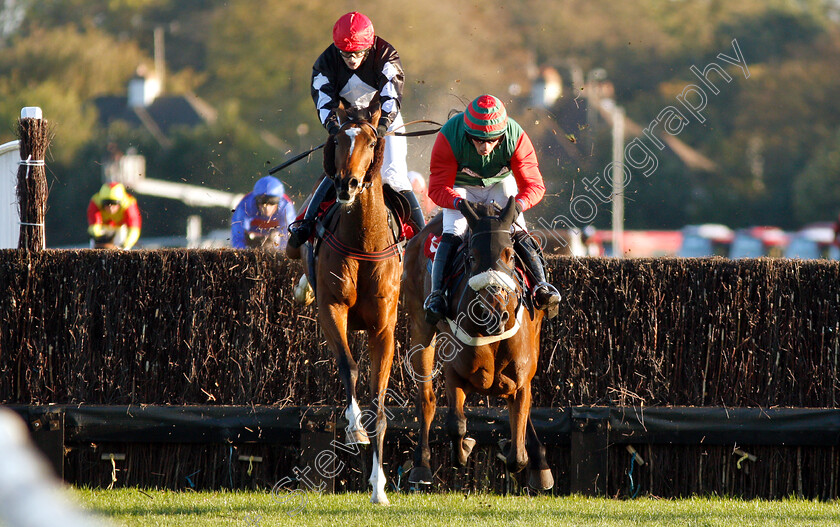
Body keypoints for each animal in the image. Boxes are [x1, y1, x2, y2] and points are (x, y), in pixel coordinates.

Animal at [288, 108, 402, 508]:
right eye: (337, 139)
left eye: (371, 140)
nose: (347, 185)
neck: (364, 240)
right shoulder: (332, 309)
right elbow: (349, 367)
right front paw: (354, 429)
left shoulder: (383, 327)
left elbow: (379, 403)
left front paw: (379, 487)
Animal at [402, 197, 556, 490]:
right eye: (471, 258)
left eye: (510, 255)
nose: (494, 312)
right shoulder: (455, 373)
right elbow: (456, 424)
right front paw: (466, 446)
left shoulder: (520, 378)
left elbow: (518, 455)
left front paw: (515, 448)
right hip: (420, 329)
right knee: (426, 398)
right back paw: (421, 466)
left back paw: (540, 462)